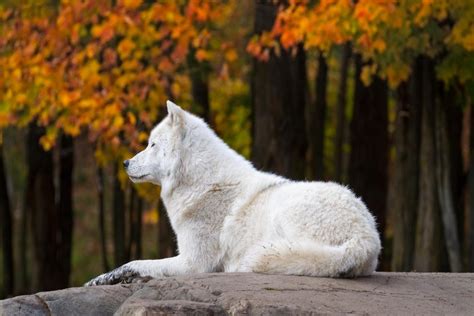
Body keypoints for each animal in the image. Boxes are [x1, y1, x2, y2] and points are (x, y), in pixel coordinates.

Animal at [86, 102, 382, 286]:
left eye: (152, 145)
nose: (125, 163)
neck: (200, 184)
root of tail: (365, 239)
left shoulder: (194, 264)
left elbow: (136, 262)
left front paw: (109, 277)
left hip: (287, 214)